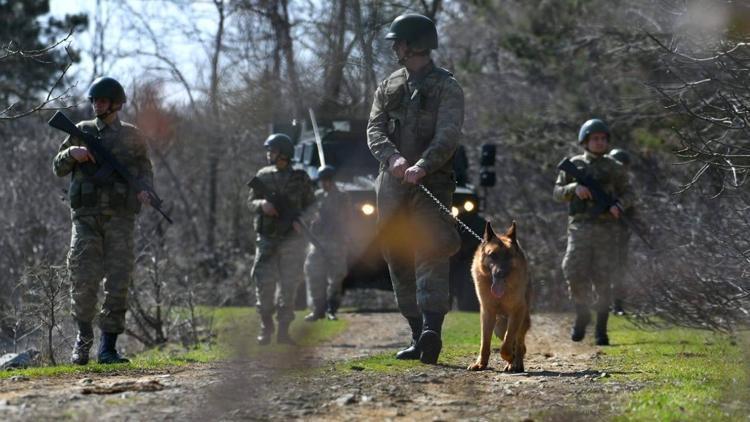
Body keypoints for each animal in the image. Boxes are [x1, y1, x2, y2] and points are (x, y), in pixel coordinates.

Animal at [468, 221, 532, 372]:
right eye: (492, 255)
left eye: (508, 256)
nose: (500, 273)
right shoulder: (487, 313)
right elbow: (485, 342)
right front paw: (481, 364)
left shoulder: (516, 312)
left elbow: (507, 343)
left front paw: (510, 358)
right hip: (499, 326)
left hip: (521, 320)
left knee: (519, 344)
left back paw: (516, 363)